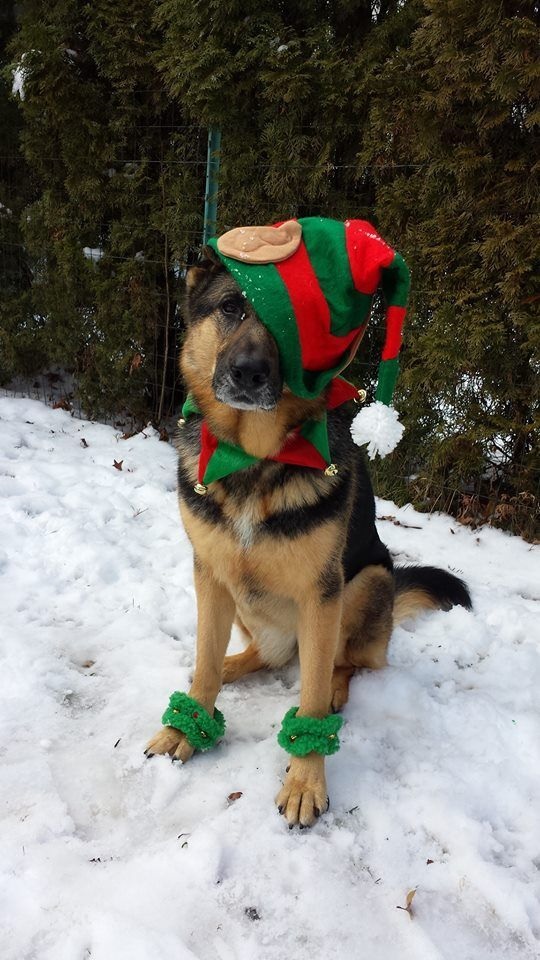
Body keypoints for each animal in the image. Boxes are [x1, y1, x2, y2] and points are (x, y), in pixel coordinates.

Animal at [146, 253, 470, 824]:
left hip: (365, 582)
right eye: (231, 307)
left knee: (348, 665)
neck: (254, 458)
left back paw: (337, 687)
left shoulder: (322, 595)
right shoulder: (210, 574)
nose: (248, 373)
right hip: (245, 599)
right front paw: (188, 723)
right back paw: (229, 666)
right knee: (264, 655)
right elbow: (204, 663)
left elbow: (314, 696)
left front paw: (304, 782)